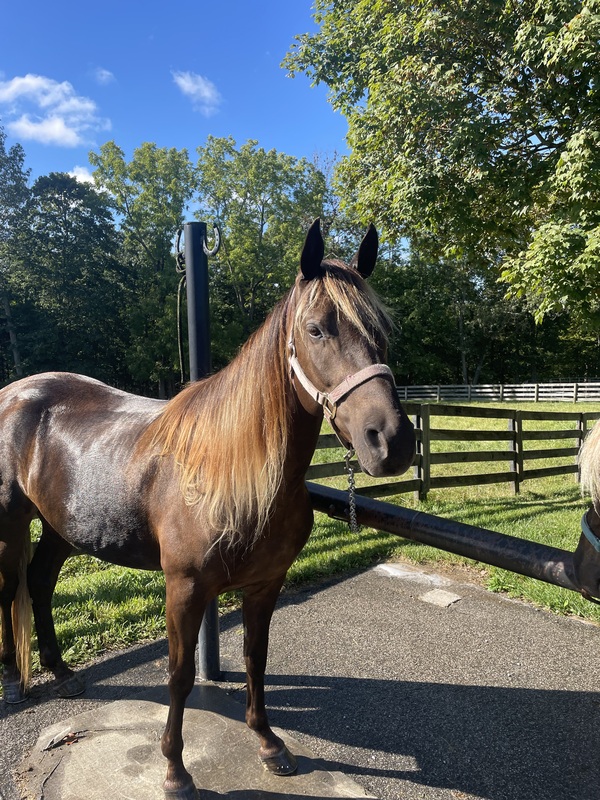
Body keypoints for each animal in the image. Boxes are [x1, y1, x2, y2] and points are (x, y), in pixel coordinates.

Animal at [0, 219, 414, 800]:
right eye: (316, 330)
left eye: (382, 332)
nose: (392, 442)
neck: (236, 472)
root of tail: (14, 393)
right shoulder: (184, 587)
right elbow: (178, 676)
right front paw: (175, 771)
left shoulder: (266, 583)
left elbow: (256, 659)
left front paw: (268, 743)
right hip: (10, 523)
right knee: (6, 591)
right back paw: (13, 682)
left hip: (62, 528)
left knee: (37, 583)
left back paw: (60, 674)